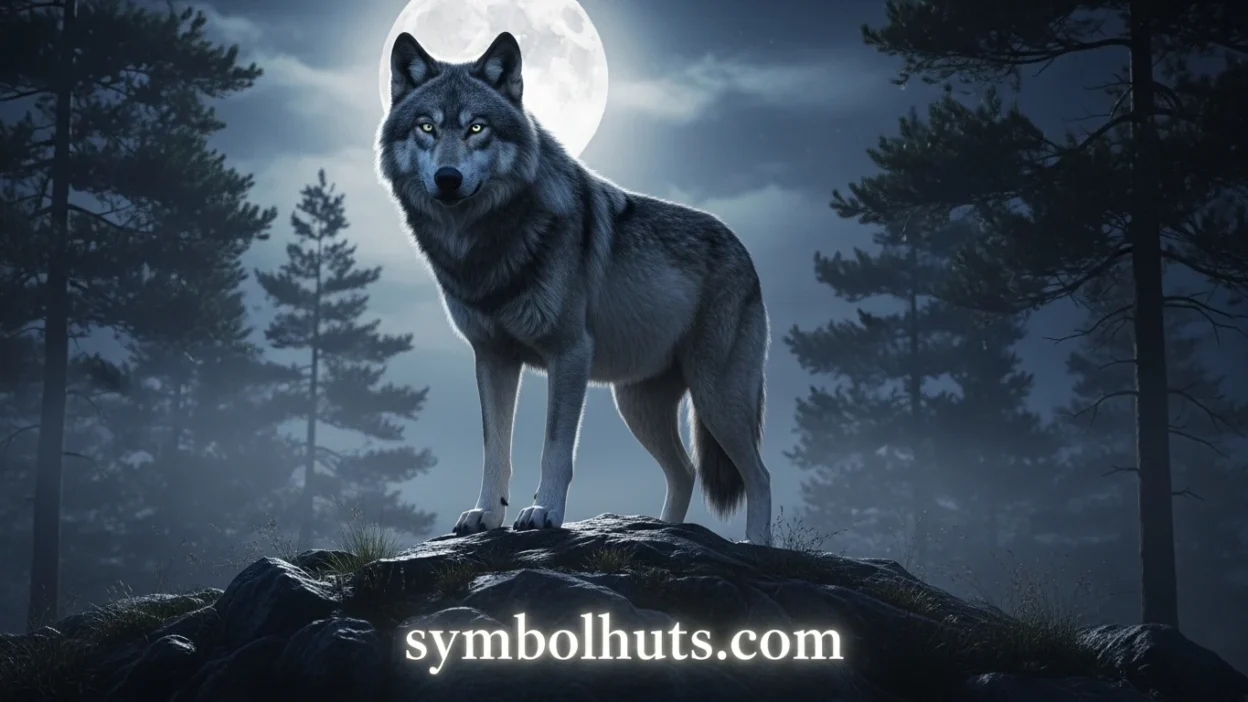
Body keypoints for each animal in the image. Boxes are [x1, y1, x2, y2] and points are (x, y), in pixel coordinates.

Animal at [375, 31, 773, 545]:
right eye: (426, 127)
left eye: (476, 128)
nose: (447, 178)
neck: (484, 244)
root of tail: (745, 251)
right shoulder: (492, 358)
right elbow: (495, 448)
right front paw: (486, 515)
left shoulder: (569, 353)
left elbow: (554, 449)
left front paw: (544, 512)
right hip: (638, 405)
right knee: (684, 472)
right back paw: (664, 533)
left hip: (715, 397)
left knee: (759, 474)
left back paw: (757, 546)